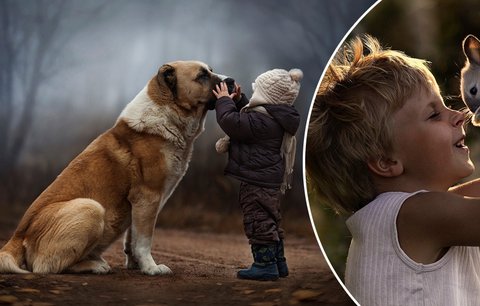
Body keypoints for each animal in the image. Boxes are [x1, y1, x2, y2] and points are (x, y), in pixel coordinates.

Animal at [0, 59, 222, 274]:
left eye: (210, 70)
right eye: (202, 75)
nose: (228, 81)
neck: (167, 114)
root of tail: (17, 237)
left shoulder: (139, 205)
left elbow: (132, 239)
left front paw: (136, 265)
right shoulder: (148, 197)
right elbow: (144, 241)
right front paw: (151, 268)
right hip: (91, 208)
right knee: (46, 266)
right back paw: (95, 266)